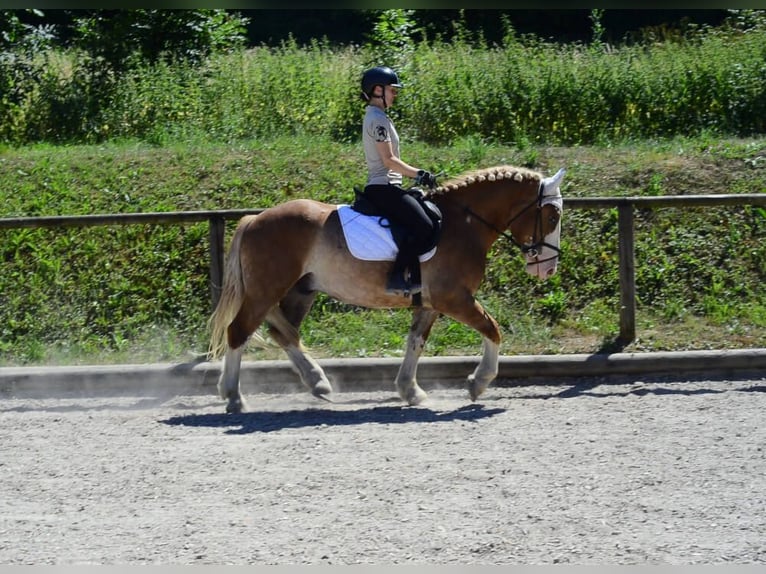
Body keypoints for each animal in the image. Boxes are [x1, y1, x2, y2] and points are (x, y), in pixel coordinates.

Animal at [208, 165, 566, 413]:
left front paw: (410, 390)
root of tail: (254, 219)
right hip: (267, 289)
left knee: (283, 332)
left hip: (298, 290)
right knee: (240, 331)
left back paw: (317, 382)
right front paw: (478, 383)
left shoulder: (431, 303)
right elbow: (492, 329)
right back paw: (235, 397)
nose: (547, 268)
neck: (463, 224)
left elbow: (415, 342)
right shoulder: (455, 299)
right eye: (552, 216)